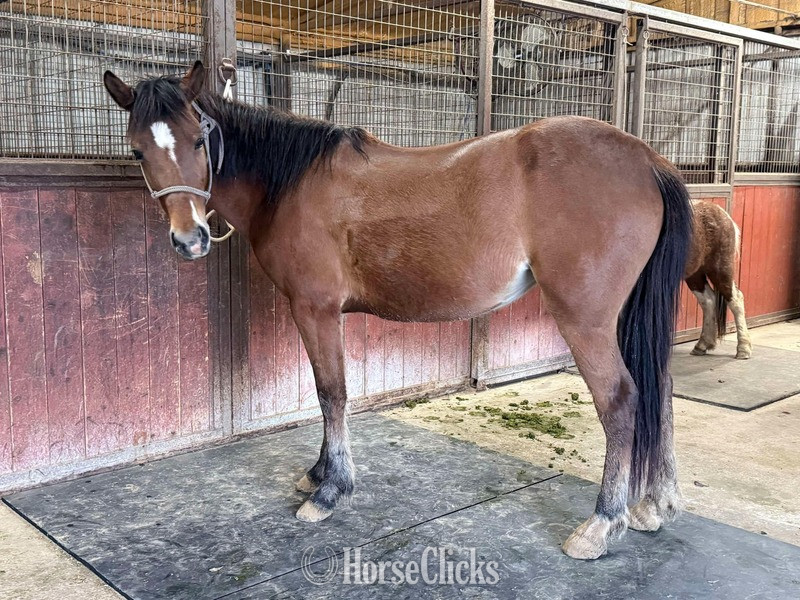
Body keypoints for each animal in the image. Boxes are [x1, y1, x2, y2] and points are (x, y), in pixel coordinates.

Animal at [103, 61, 692, 560]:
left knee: (621, 400)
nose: (190, 240)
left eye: (198, 140)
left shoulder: (315, 309)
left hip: (585, 319)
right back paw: (653, 505)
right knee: (659, 390)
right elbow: (328, 393)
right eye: (137, 151)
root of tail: (647, 159)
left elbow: (331, 393)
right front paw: (318, 473)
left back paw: (602, 522)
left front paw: (330, 491)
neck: (289, 181)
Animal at [686, 201, 752, 359]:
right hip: (695, 273)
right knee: (708, 301)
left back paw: (743, 349)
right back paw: (702, 345)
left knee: (735, 299)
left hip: (721, 270)